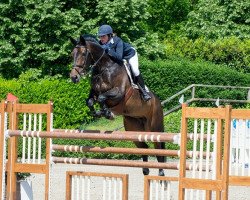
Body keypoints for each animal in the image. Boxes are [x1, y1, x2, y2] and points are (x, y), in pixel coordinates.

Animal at [69, 34, 165, 177]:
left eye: (84, 53)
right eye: (72, 54)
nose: (74, 77)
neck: (103, 68)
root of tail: (158, 102)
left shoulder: (118, 93)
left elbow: (103, 98)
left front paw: (107, 113)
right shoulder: (94, 93)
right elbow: (90, 101)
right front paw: (98, 113)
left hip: (154, 127)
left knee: (158, 150)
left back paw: (161, 173)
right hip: (133, 127)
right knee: (144, 147)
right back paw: (146, 170)